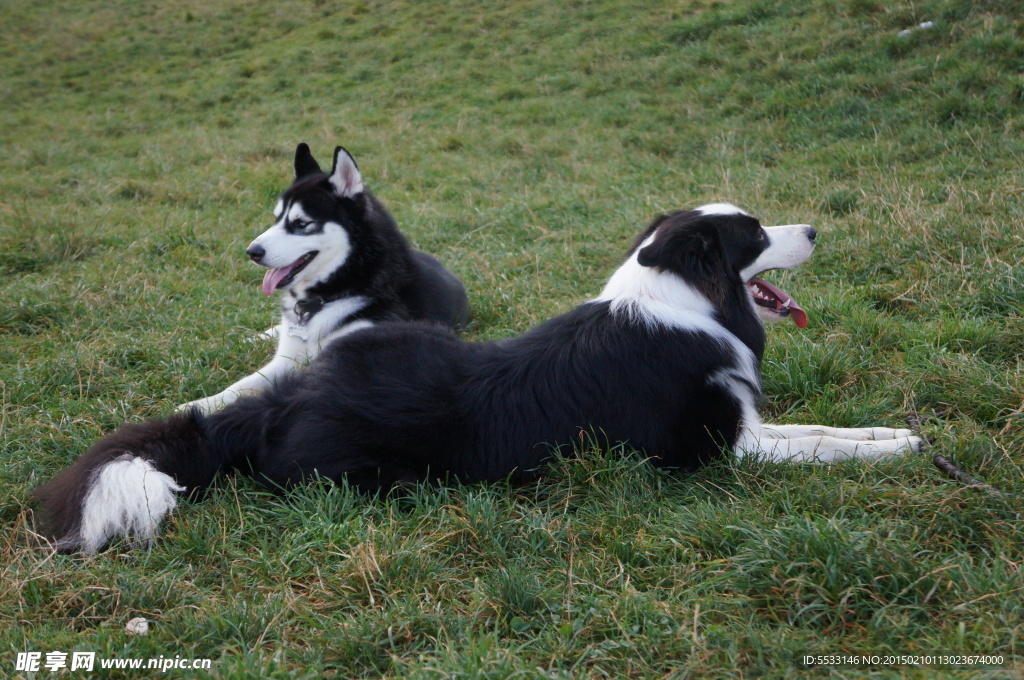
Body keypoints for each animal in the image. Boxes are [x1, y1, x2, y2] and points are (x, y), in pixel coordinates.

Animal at [36, 205, 925, 553]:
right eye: (755, 235)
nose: (814, 229)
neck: (687, 300)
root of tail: (284, 402)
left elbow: (831, 430)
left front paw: (900, 433)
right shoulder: (721, 449)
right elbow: (824, 446)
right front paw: (898, 449)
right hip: (373, 472)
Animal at [181, 143, 471, 411]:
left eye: (301, 223)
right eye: (276, 219)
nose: (252, 252)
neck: (334, 291)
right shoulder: (285, 359)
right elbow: (242, 384)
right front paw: (200, 404)